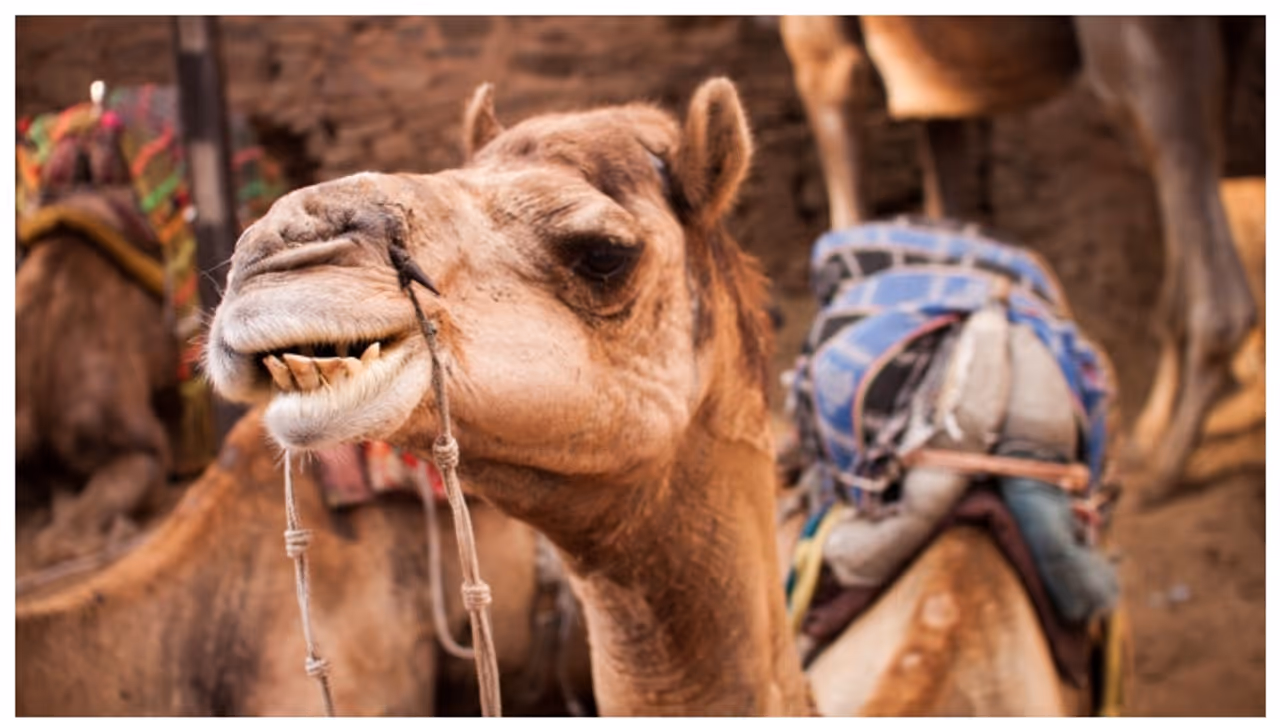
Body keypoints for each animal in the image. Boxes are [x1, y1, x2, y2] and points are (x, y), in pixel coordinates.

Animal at [778, 16, 1258, 504]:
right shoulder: (939, 82)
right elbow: (944, 208)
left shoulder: (825, 49)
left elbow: (848, 212)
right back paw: (1148, 437)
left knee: (1221, 296)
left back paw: (1163, 469)